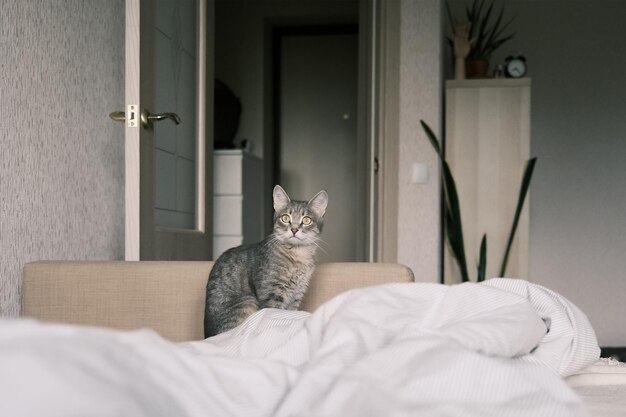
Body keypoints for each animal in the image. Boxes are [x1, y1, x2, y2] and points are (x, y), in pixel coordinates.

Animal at [205, 184, 330, 336]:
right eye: (285, 218)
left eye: (306, 220)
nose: (294, 229)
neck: (297, 257)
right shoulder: (272, 294)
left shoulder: (296, 296)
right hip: (247, 302)